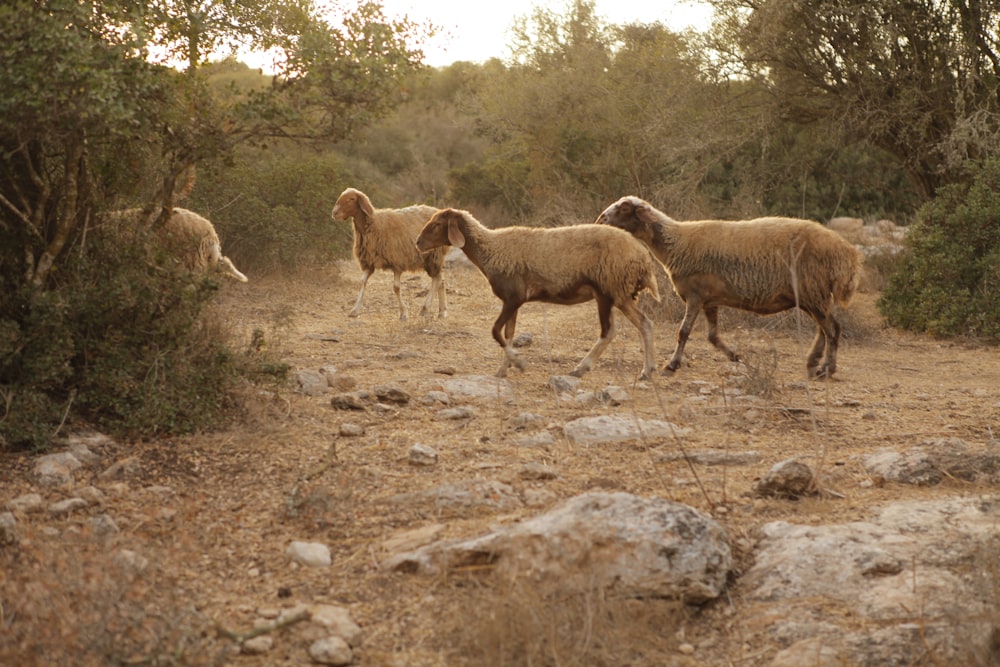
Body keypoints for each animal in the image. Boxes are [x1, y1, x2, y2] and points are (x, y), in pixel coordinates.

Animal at [416, 209, 664, 380]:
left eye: (437, 223)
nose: (418, 243)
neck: (491, 249)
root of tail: (643, 256)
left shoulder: (513, 297)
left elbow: (496, 331)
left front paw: (518, 363)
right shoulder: (513, 302)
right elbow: (508, 334)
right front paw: (503, 369)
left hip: (608, 289)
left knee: (609, 331)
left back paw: (581, 368)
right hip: (619, 294)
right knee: (645, 323)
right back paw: (647, 370)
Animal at [592, 196, 860, 378]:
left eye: (624, 207)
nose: (600, 219)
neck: (676, 243)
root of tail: (846, 253)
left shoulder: (695, 296)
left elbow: (683, 332)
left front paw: (671, 365)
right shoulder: (710, 300)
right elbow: (713, 336)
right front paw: (735, 355)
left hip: (813, 292)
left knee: (832, 329)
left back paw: (827, 368)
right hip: (813, 296)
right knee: (824, 329)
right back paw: (813, 362)